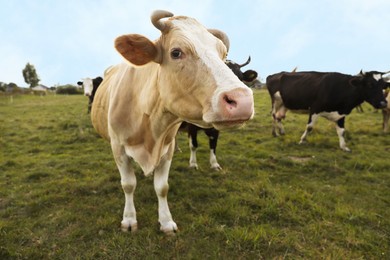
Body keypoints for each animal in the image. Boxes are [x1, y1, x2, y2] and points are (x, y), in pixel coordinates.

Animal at [90, 10, 254, 235]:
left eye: (223, 55)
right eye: (176, 52)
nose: (242, 100)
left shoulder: (167, 148)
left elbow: (162, 187)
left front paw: (166, 222)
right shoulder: (118, 148)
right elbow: (128, 184)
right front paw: (129, 220)